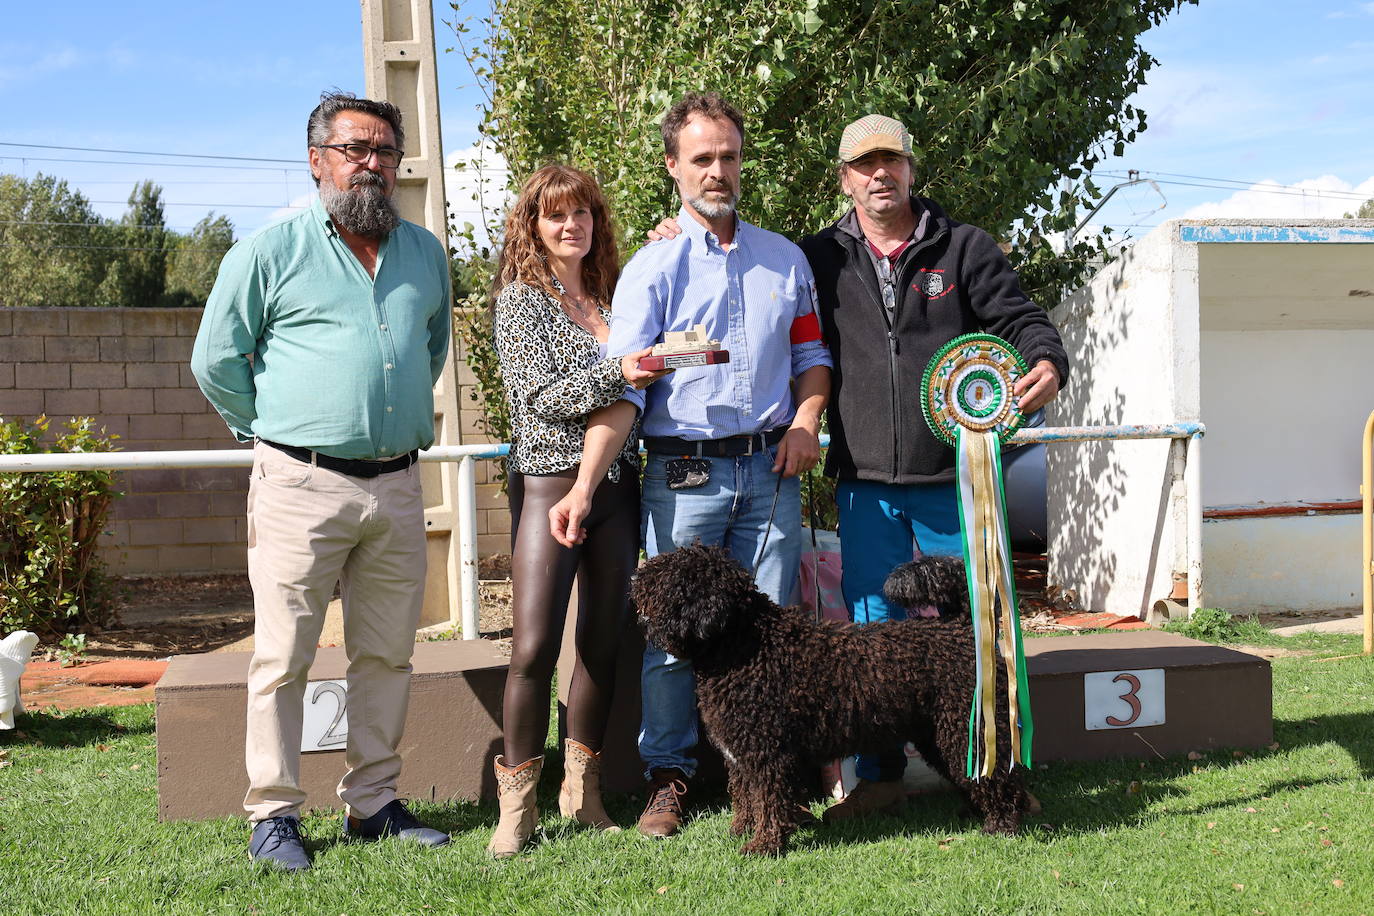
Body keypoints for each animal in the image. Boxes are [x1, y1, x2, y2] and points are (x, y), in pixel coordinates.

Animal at [632, 541, 1033, 856]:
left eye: (673, 574)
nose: (637, 577)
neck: (745, 645)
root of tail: (961, 626)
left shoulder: (767, 756)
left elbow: (768, 803)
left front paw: (763, 845)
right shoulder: (742, 757)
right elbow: (746, 798)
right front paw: (741, 830)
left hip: (968, 728)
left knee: (999, 775)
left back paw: (1003, 823)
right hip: (939, 735)